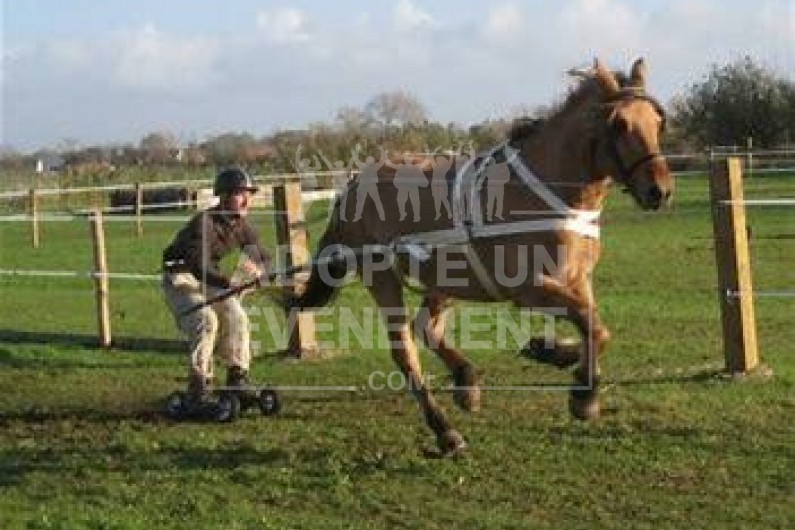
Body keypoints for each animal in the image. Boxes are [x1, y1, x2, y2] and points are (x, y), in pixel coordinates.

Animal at [290, 57, 676, 454]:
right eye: (619, 124)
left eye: (658, 122)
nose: (659, 191)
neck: (547, 192)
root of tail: (352, 186)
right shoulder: (529, 288)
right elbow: (594, 326)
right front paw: (582, 396)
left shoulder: (577, 280)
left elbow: (593, 326)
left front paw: (556, 355)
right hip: (383, 278)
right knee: (405, 350)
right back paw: (445, 430)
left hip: (445, 277)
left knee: (427, 328)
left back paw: (467, 381)